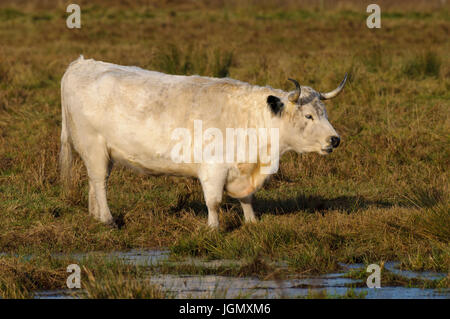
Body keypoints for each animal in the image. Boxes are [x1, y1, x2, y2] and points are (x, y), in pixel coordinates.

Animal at [60, 56, 348, 229]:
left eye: (324, 112)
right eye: (308, 115)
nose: (334, 140)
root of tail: (81, 63)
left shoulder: (243, 169)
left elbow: (247, 199)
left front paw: (252, 222)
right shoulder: (213, 168)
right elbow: (214, 201)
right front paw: (213, 227)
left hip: (102, 153)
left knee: (94, 183)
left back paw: (96, 215)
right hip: (94, 147)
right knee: (100, 182)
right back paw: (108, 220)